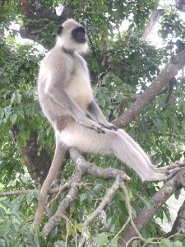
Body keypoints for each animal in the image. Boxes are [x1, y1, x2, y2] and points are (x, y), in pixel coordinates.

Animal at [33, 18, 182, 228]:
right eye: (76, 33)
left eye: (82, 31)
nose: (83, 36)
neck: (68, 52)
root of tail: (59, 131)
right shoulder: (59, 59)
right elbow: (54, 88)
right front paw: (86, 120)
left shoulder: (79, 60)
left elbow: (91, 102)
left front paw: (103, 121)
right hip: (75, 133)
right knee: (114, 139)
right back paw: (150, 175)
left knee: (119, 133)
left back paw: (156, 169)